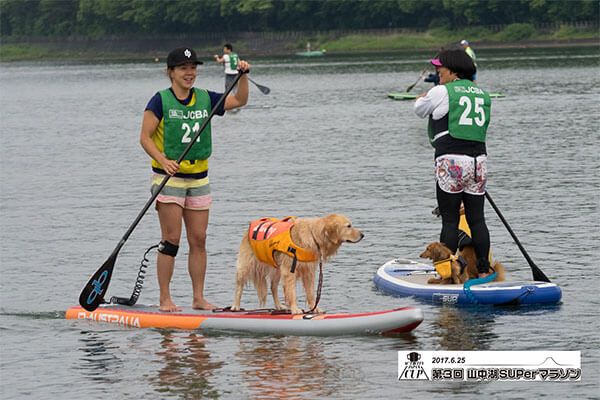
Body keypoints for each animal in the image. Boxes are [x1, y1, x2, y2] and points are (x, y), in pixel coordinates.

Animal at [232, 214, 364, 314]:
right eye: (348, 226)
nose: (363, 235)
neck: (313, 235)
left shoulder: (308, 271)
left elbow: (310, 293)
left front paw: (315, 308)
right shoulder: (290, 270)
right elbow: (292, 292)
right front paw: (295, 309)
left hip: (277, 269)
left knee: (273, 287)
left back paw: (279, 306)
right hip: (246, 264)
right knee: (239, 286)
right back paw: (235, 306)